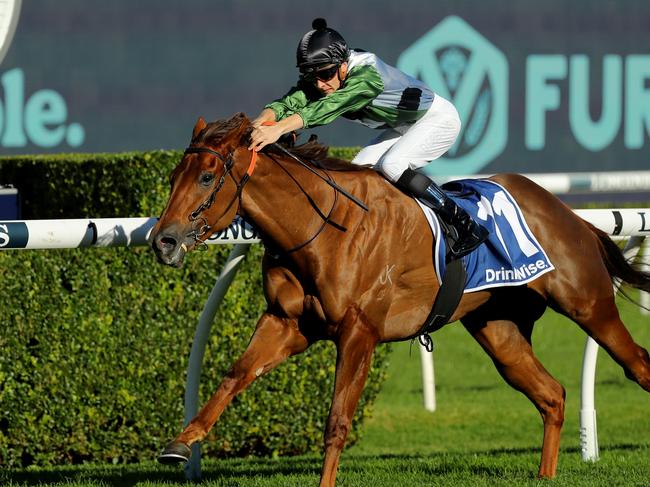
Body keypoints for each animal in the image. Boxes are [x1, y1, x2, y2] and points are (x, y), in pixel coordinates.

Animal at [148, 113, 648, 484]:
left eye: (207, 176)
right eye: (173, 176)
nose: (163, 241)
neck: (324, 227)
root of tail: (568, 214)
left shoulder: (359, 332)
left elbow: (337, 421)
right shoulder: (286, 324)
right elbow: (234, 376)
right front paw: (180, 444)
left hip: (588, 304)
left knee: (636, 363)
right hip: (499, 331)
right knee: (552, 394)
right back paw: (545, 475)